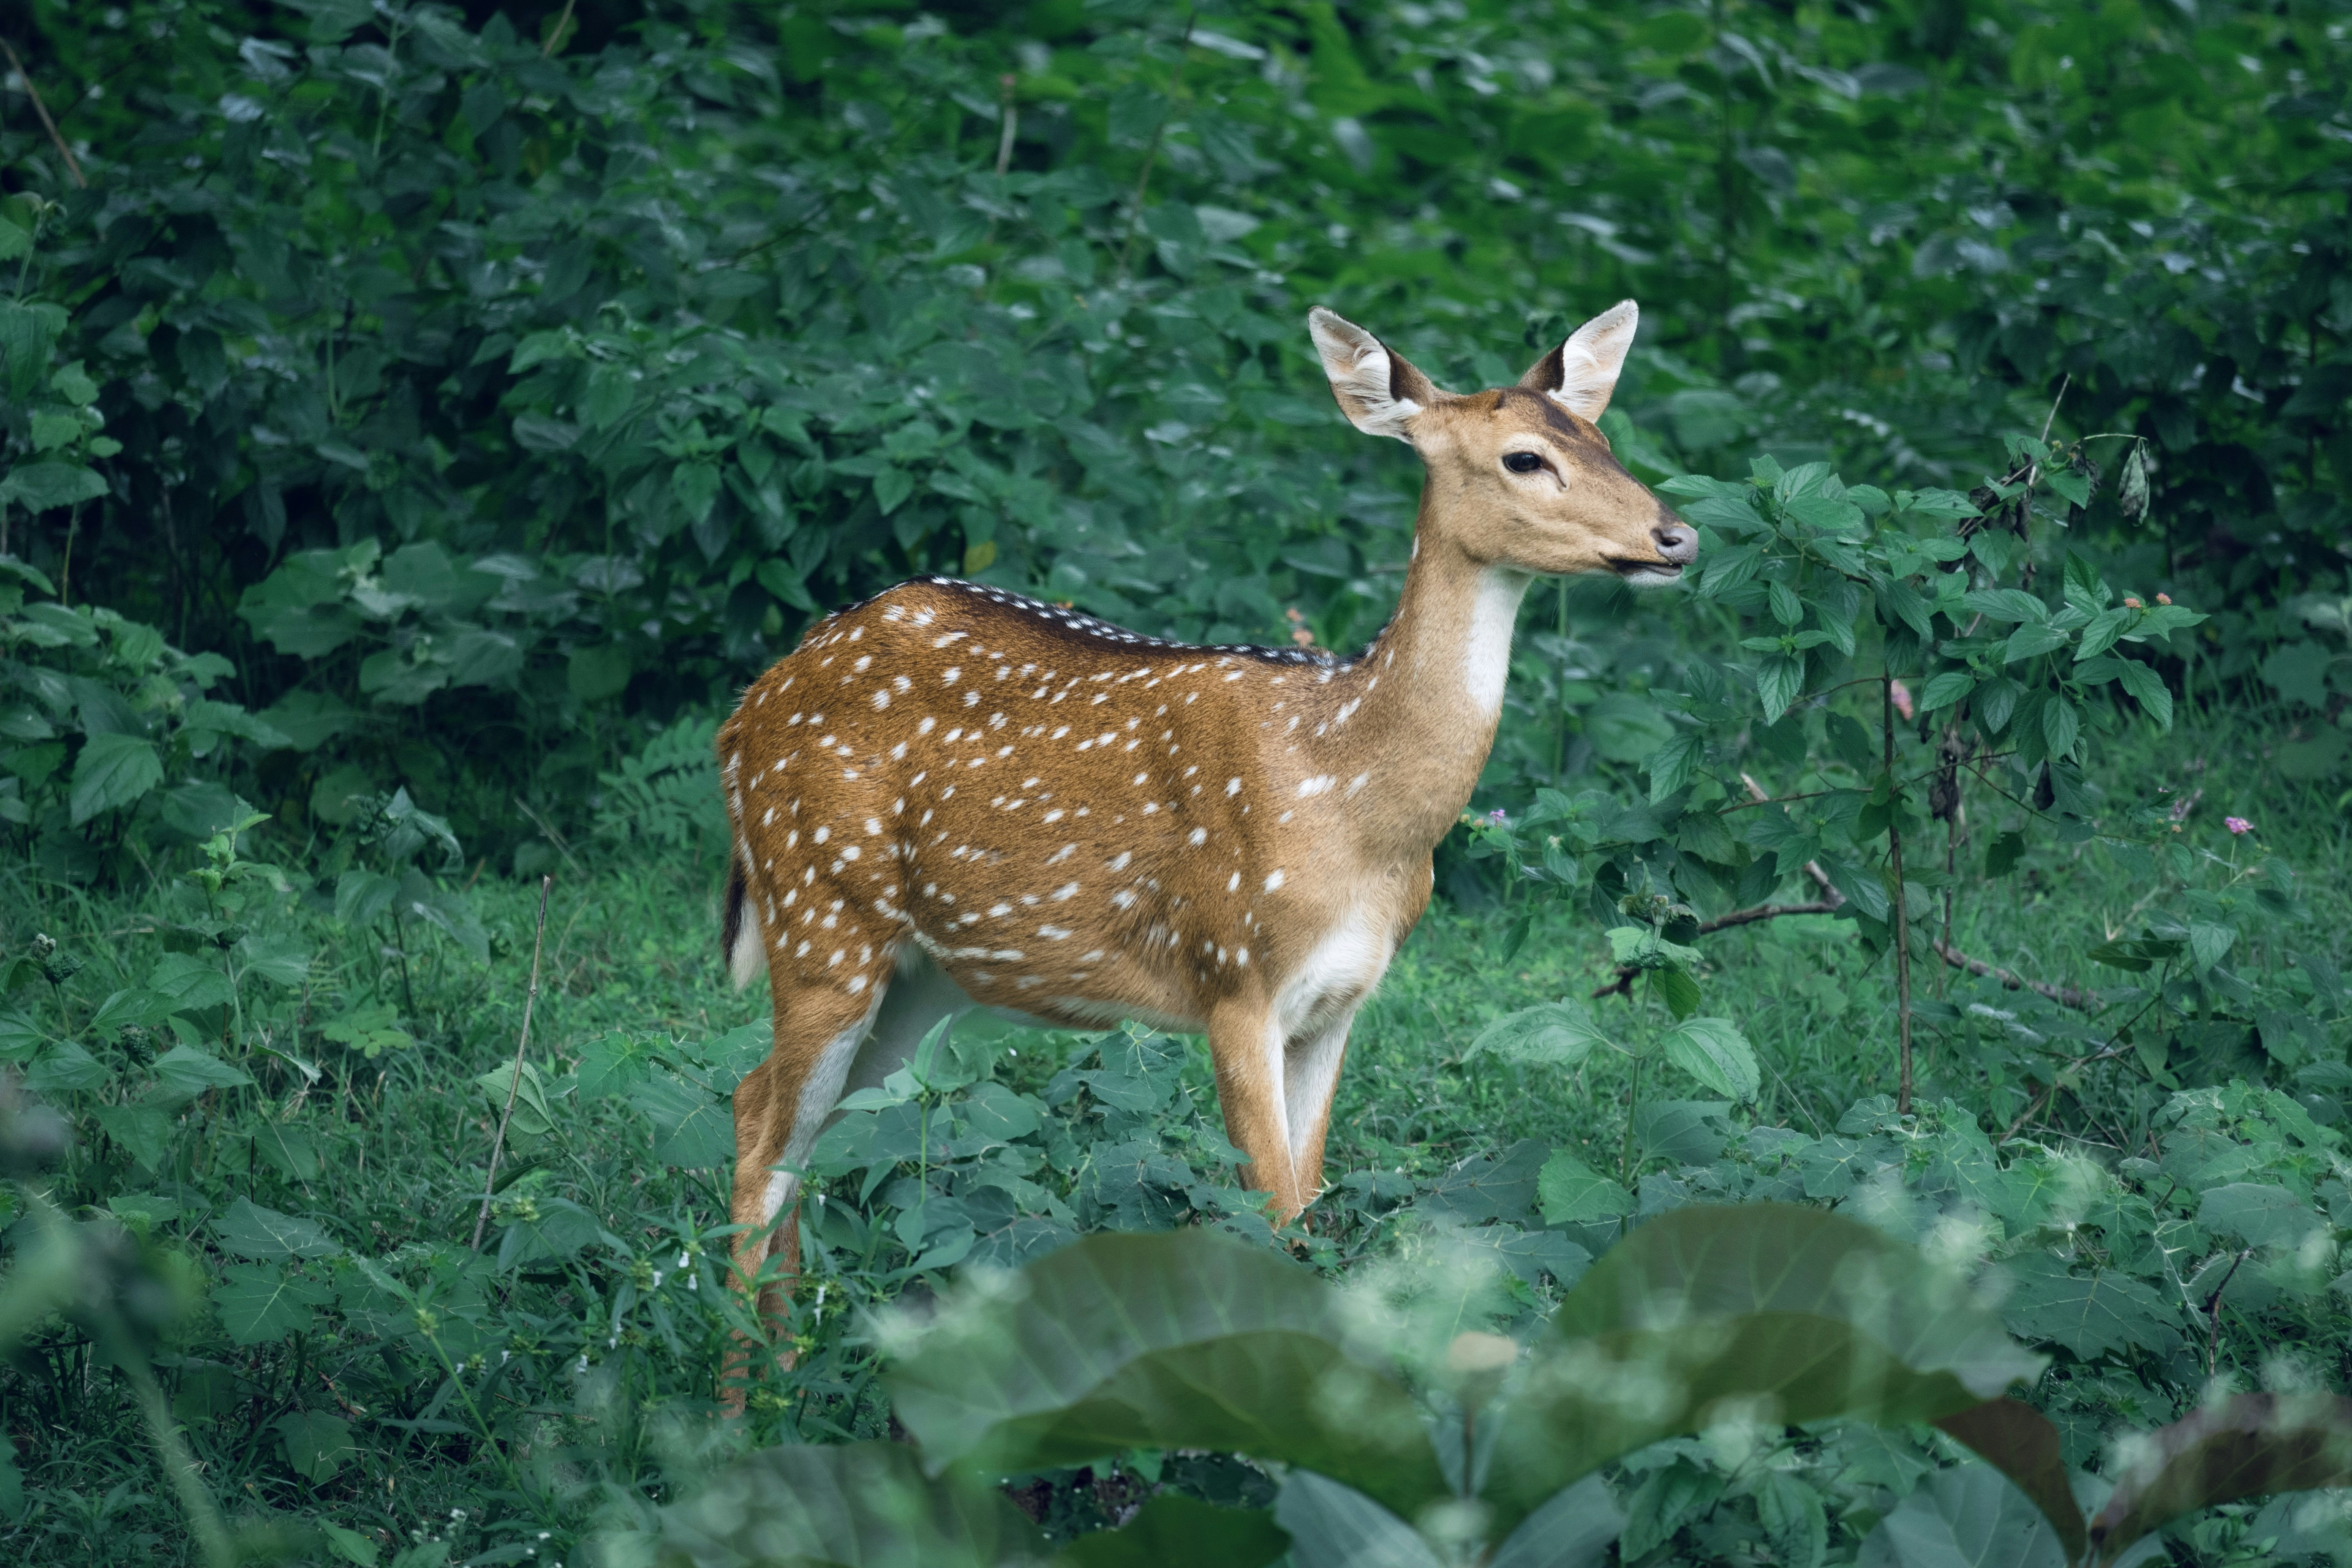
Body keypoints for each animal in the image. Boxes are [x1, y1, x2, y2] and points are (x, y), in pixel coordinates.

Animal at [712, 300, 1694, 1360]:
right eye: (1524, 457)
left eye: (1602, 438)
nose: (1676, 536)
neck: (1355, 801)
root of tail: (744, 714)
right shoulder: (1233, 969)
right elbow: (1274, 1218)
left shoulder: (1341, 1001)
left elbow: (1312, 1204)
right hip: (822, 911)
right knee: (762, 1135)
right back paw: (748, 1383)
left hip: (924, 974)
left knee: (790, 1121)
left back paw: (792, 1361)